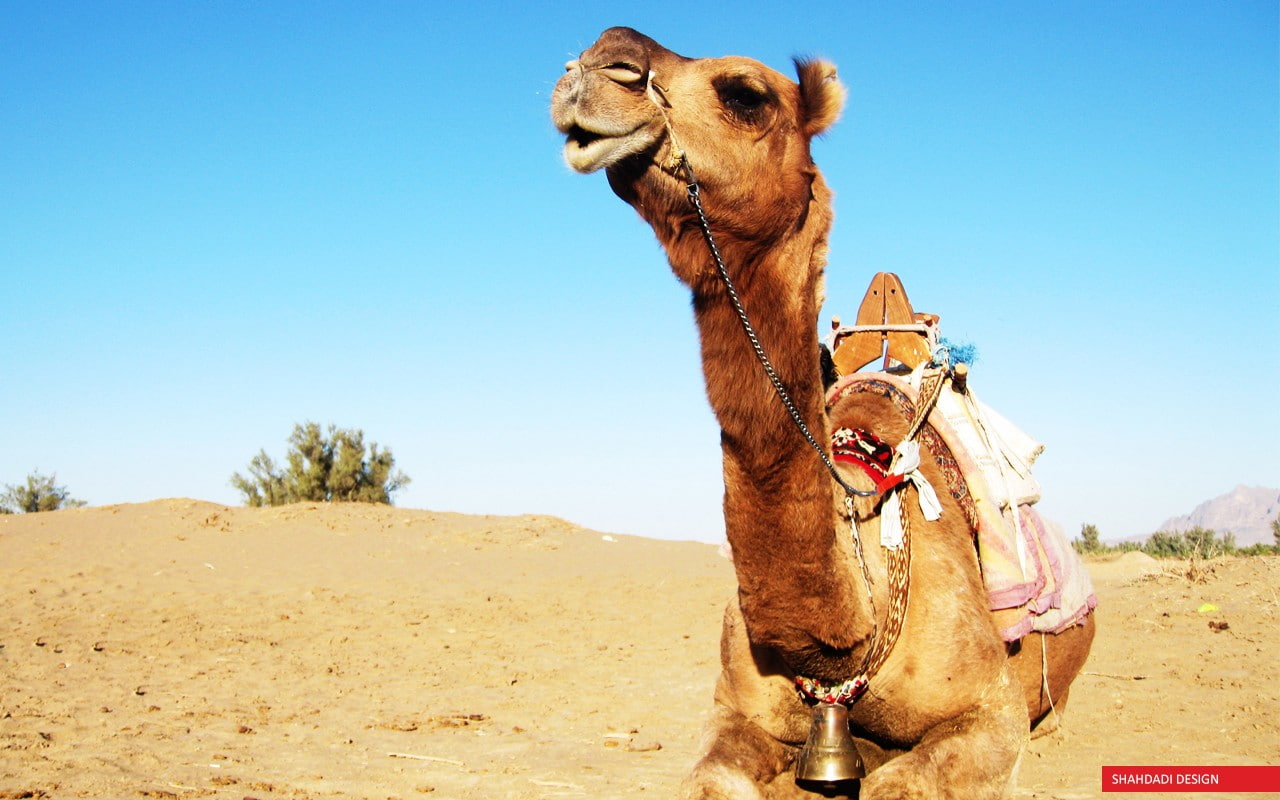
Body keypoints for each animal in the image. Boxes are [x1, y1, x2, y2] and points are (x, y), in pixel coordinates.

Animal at [552, 27, 1095, 799]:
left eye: (745, 93)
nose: (593, 67)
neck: (842, 637)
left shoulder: (990, 713)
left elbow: (907, 779)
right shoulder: (734, 711)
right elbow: (714, 779)